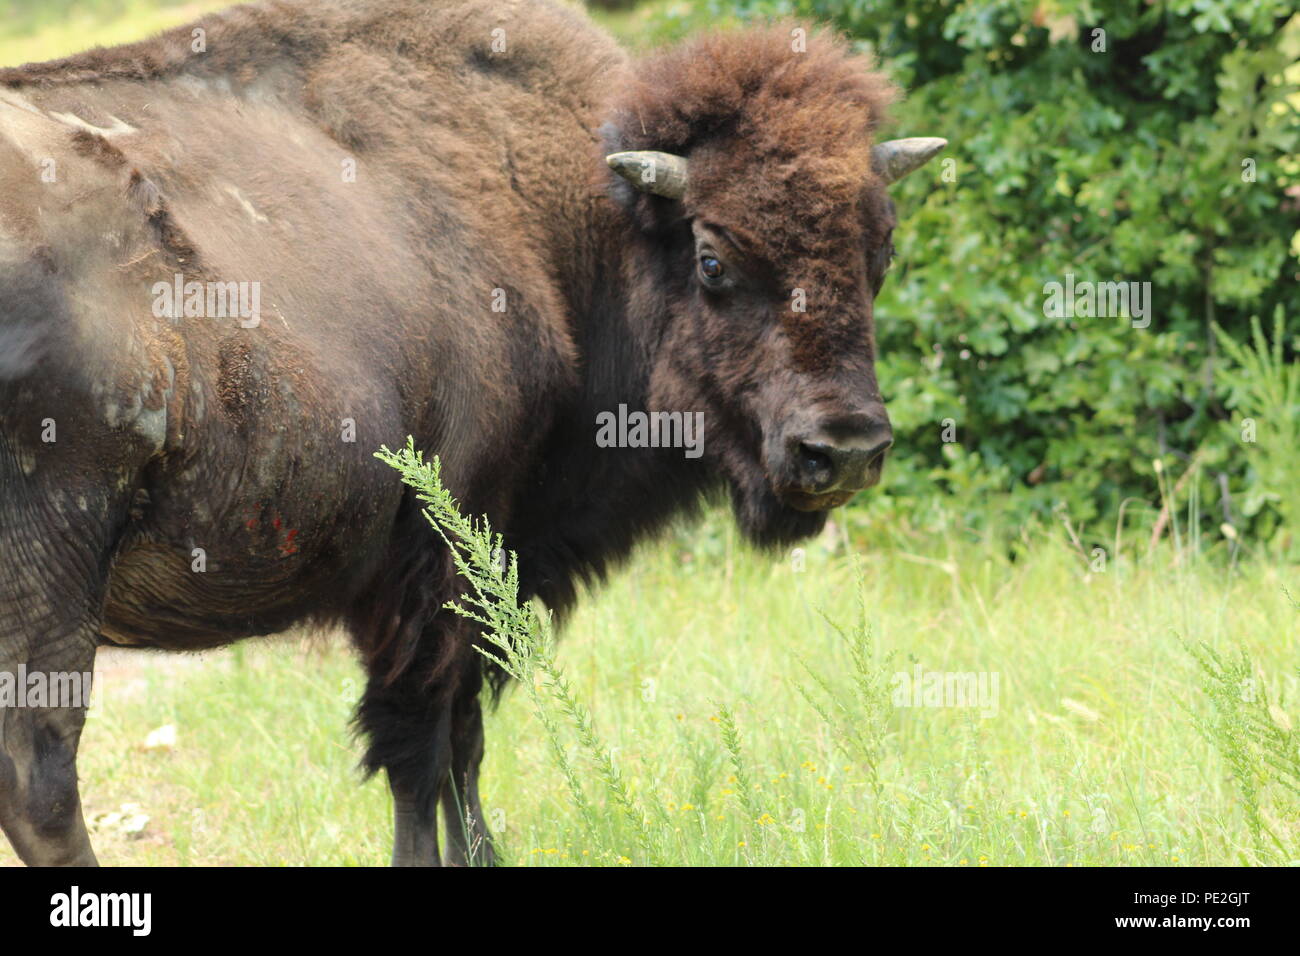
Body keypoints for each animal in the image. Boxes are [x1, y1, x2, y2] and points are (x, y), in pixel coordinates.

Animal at [0, 0, 941, 868]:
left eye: (881, 251)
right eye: (713, 259)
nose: (843, 449)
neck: (577, 225)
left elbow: (463, 738)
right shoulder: (445, 557)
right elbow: (421, 743)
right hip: (54, 578)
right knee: (41, 775)